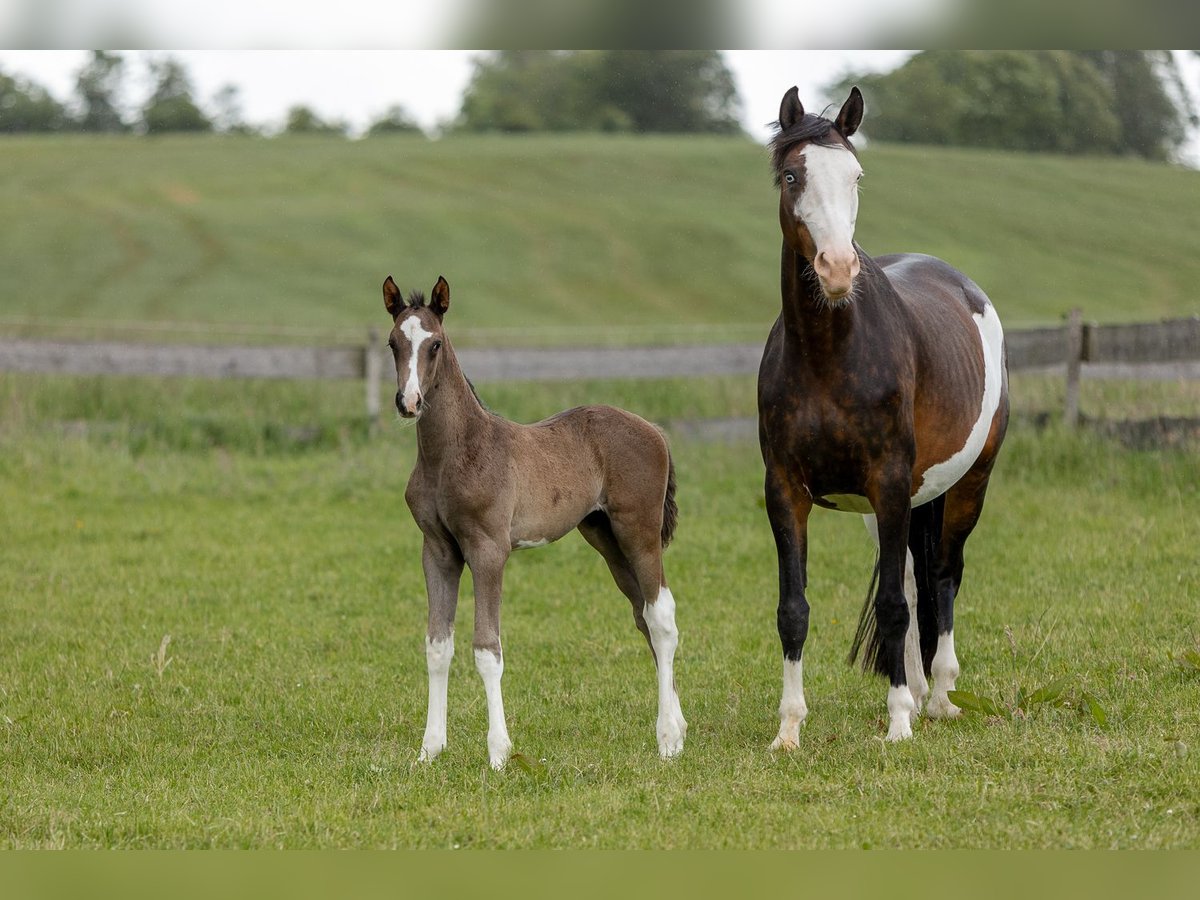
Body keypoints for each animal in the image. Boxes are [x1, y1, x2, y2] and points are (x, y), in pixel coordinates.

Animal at [384, 274, 686, 768]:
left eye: (435, 344)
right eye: (394, 343)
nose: (409, 402)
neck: (453, 453)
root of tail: (655, 431)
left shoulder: (489, 550)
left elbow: (487, 649)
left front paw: (499, 753)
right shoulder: (438, 551)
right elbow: (437, 646)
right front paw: (429, 750)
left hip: (638, 532)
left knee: (661, 618)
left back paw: (667, 740)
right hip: (604, 538)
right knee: (643, 616)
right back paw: (678, 728)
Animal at [758, 86, 1012, 748]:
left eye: (856, 176)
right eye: (792, 176)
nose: (837, 270)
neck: (830, 354)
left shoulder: (892, 483)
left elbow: (899, 604)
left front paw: (898, 723)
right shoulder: (785, 491)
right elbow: (794, 609)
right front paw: (788, 730)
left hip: (966, 485)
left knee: (943, 575)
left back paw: (939, 696)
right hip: (889, 510)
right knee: (915, 580)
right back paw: (921, 693)